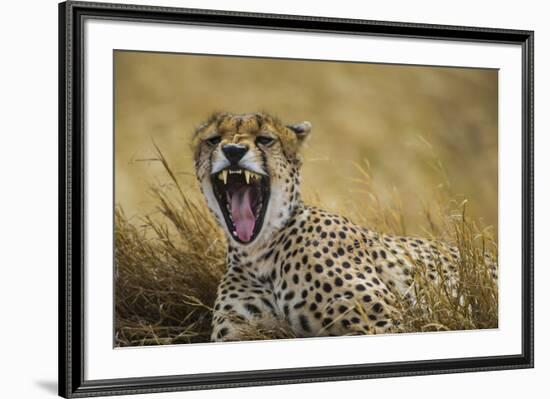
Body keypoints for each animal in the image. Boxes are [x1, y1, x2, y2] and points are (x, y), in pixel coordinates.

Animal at [194, 113, 488, 344]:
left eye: (265, 139)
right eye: (214, 140)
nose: (233, 151)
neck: (261, 253)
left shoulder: (386, 321)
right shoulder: (239, 333)